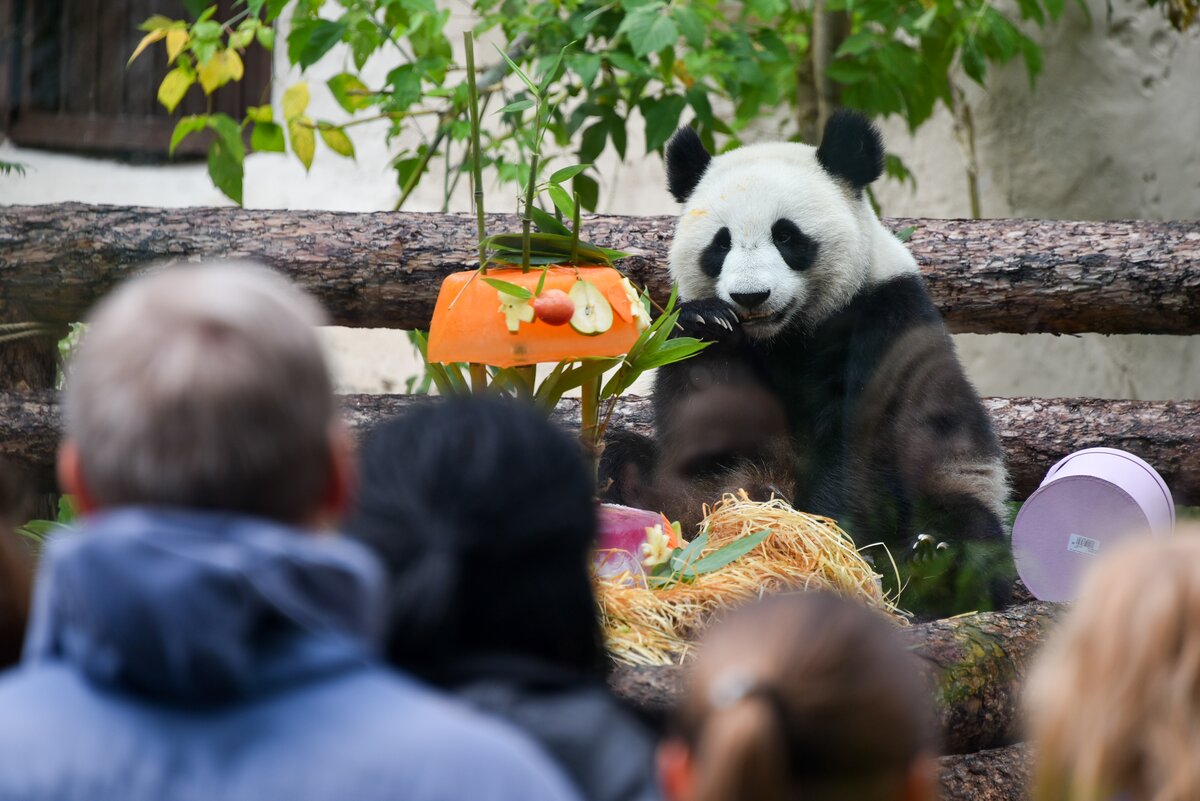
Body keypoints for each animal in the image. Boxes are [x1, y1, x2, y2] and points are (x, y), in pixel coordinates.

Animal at [643, 112, 1008, 573]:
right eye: (720, 243)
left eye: (786, 236)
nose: (750, 296)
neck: (783, 335)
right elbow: (703, 440)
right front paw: (709, 323)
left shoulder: (884, 315)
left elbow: (867, 441)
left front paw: (828, 533)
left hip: (962, 480)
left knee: (968, 527)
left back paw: (930, 558)